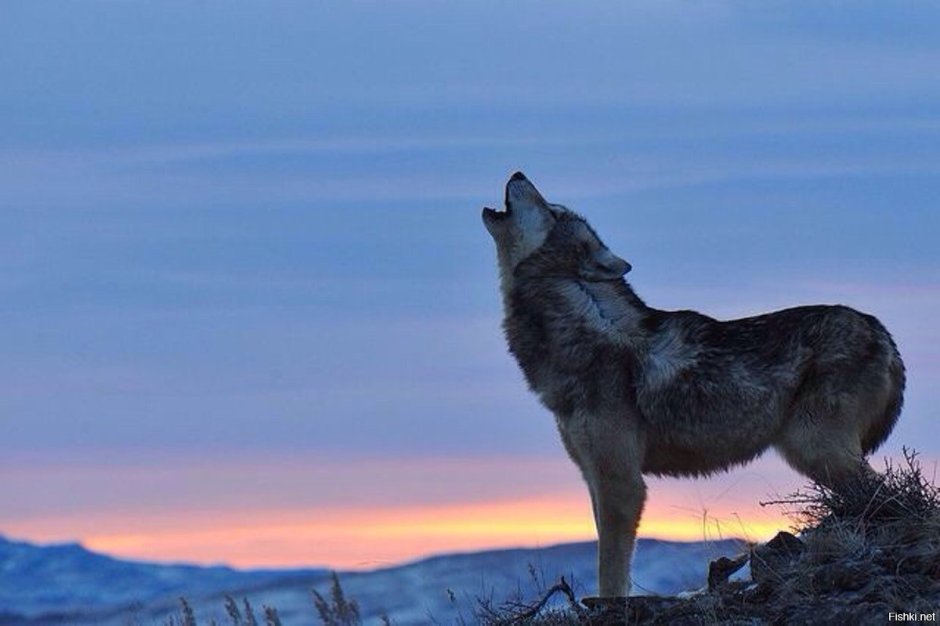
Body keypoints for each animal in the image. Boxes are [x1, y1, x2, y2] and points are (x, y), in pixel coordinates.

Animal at [482, 172, 905, 599]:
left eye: (552, 210)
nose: (517, 173)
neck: (587, 328)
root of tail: (879, 328)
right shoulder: (594, 476)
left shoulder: (622, 482)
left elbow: (610, 571)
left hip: (814, 447)